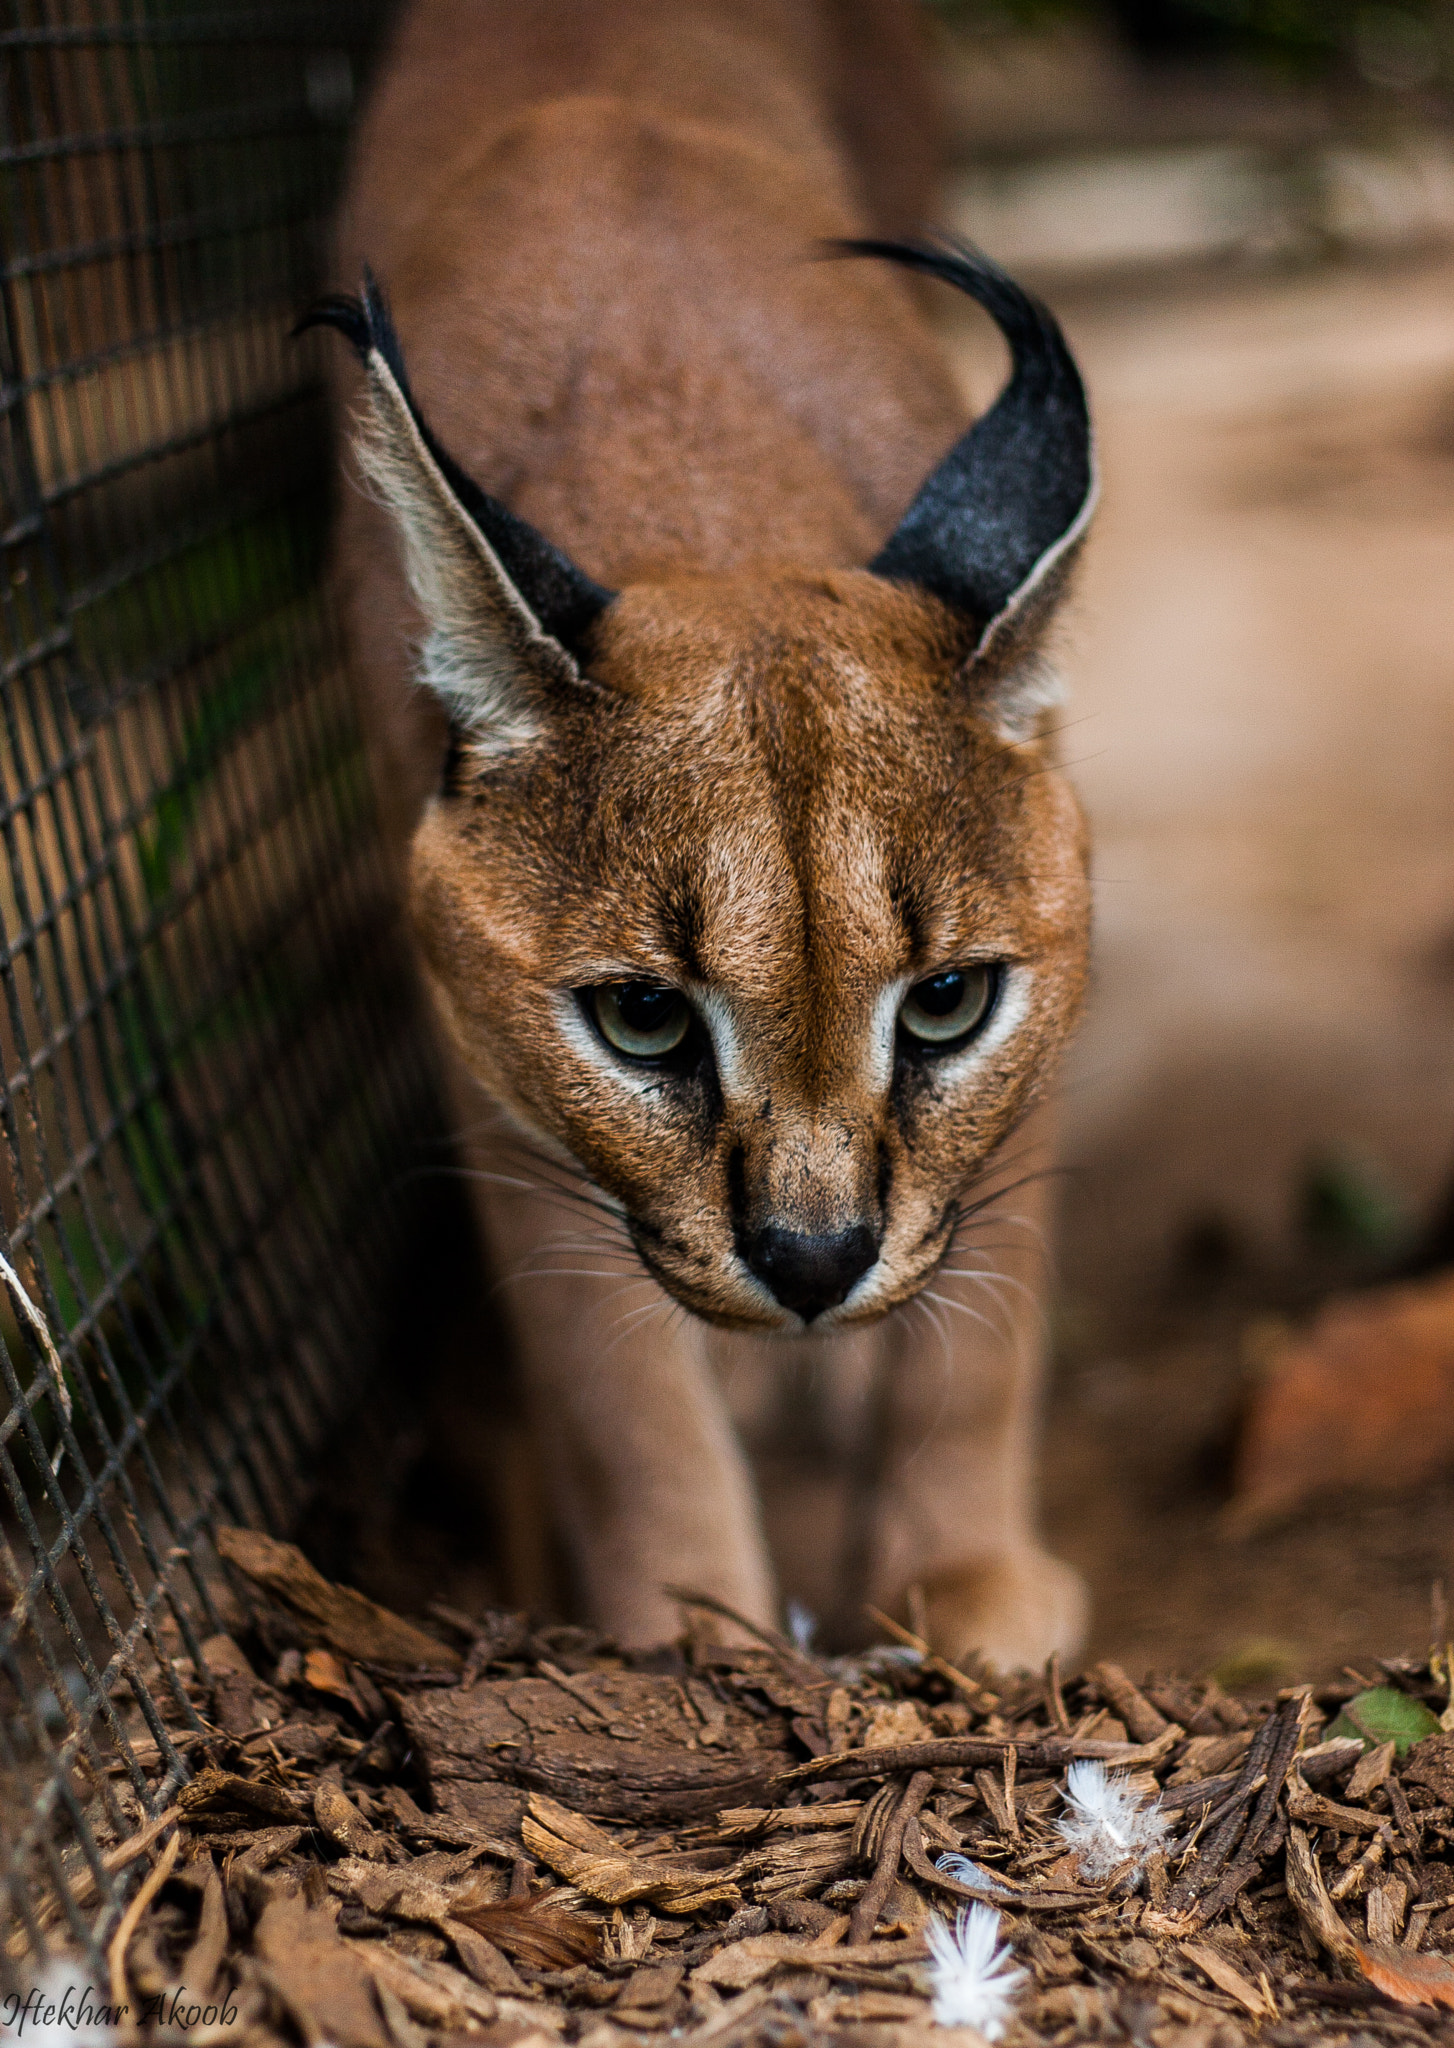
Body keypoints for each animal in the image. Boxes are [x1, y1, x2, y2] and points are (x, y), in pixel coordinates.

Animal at [319, 0, 1097, 1662]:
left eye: (946, 1002)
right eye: (641, 1021)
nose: (810, 1262)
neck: (694, 478)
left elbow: (982, 1314)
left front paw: (961, 1580)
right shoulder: (499, 1094)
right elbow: (620, 1396)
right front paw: (688, 1630)